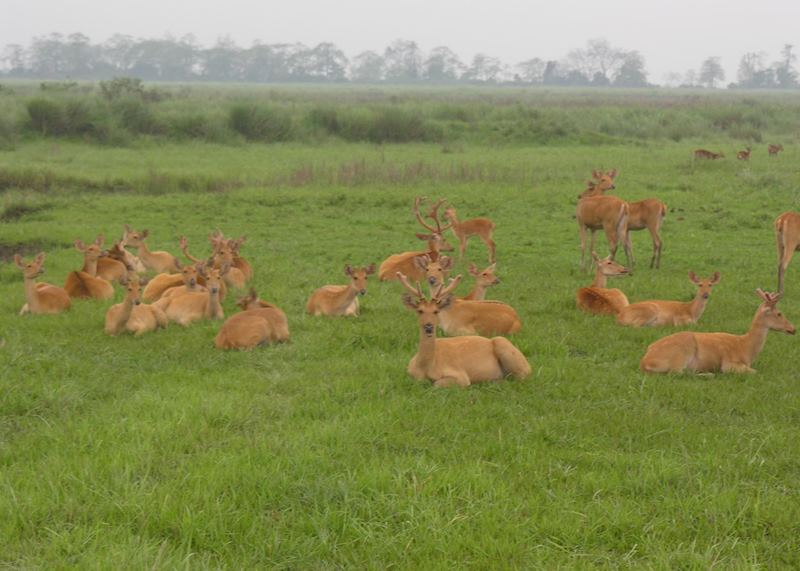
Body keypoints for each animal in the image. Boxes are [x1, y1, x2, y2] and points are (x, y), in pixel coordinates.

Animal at [397, 273, 531, 387]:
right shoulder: (410, 373)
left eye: (436, 311)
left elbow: (437, 384)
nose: (429, 326)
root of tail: (529, 365)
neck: (426, 368)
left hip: (505, 346)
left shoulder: (460, 375)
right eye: (419, 311)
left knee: (521, 377)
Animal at [640, 289, 795, 374]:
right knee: (677, 373)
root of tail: (645, 362)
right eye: (779, 313)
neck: (746, 347)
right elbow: (754, 372)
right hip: (681, 353)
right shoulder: (729, 363)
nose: (793, 328)